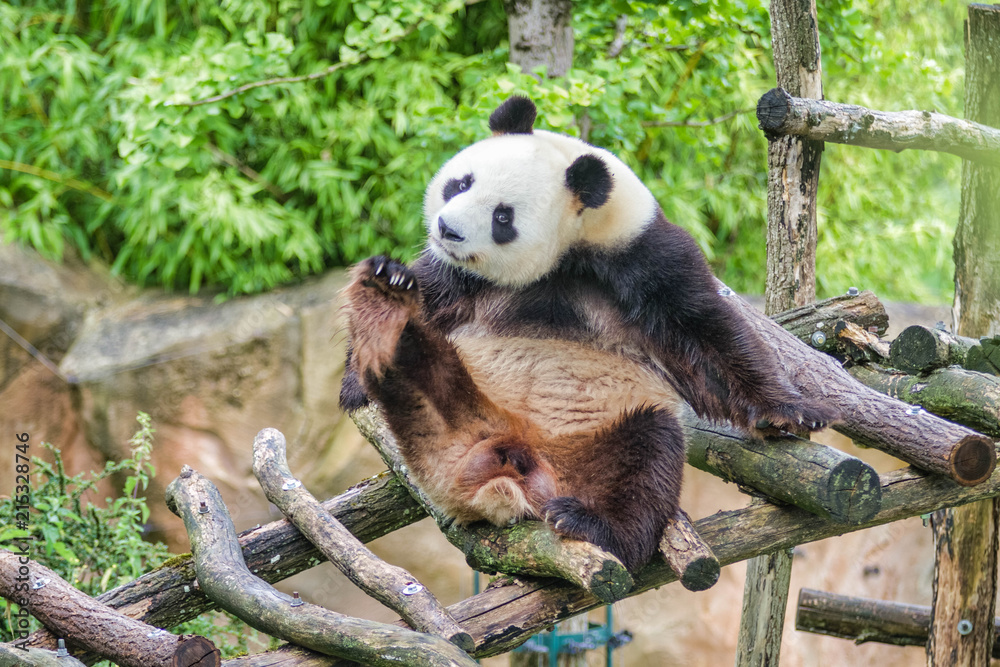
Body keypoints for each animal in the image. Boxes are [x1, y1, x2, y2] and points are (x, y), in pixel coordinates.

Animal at [340, 96, 838, 572]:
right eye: (461, 183)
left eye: (503, 217)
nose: (448, 229)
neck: (572, 249)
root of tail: (500, 477)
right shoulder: (463, 277)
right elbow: (433, 291)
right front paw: (366, 346)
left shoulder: (644, 257)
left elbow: (707, 334)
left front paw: (792, 411)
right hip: (457, 414)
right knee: (423, 370)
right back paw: (384, 310)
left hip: (606, 427)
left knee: (649, 457)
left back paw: (592, 523)